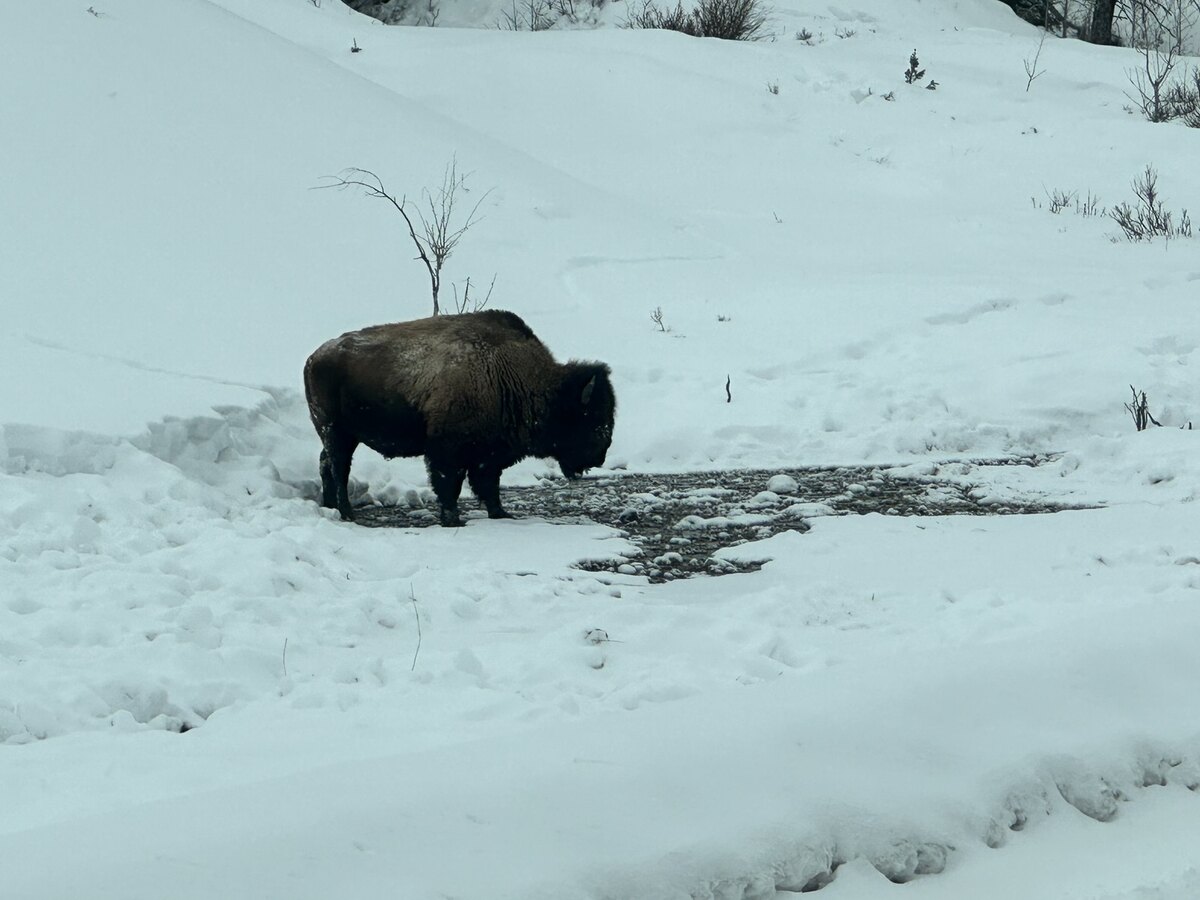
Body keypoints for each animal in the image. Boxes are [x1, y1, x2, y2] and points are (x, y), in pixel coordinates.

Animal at [303, 310, 616, 526]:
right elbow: (450, 485)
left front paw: (501, 514)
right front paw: (453, 518)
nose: (600, 454)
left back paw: (330, 507)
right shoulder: (447, 451)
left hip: (341, 435)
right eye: (590, 416)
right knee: (338, 468)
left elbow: (489, 485)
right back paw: (346, 512)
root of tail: (313, 358)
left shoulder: (488, 454)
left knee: (326, 464)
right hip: (337, 432)